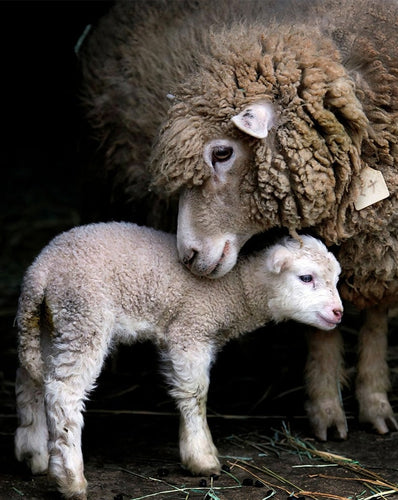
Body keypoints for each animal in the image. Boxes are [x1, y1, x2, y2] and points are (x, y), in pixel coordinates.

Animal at [14, 224, 342, 500]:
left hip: (50, 323)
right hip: (84, 316)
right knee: (63, 393)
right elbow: (195, 394)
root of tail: (40, 272)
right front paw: (202, 458)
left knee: (31, 380)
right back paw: (71, 480)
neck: (235, 291)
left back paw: (33, 453)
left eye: (336, 279)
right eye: (306, 277)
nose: (338, 313)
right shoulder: (190, 331)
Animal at [80, 0, 398, 442]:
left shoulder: (378, 238)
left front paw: (375, 401)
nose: (188, 254)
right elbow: (320, 324)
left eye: (222, 153)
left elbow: (374, 319)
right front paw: (327, 409)